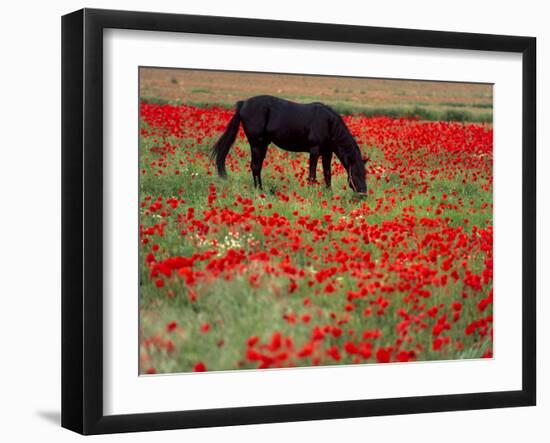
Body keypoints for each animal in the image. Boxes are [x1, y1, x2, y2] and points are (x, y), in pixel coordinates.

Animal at [211, 94, 370, 193]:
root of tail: (243, 104)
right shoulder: (314, 151)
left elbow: (327, 174)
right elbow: (312, 175)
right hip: (256, 143)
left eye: (365, 173)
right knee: (255, 166)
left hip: (263, 145)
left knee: (257, 167)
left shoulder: (327, 153)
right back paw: (259, 190)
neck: (328, 124)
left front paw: (329, 194)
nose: (363, 194)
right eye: (356, 172)